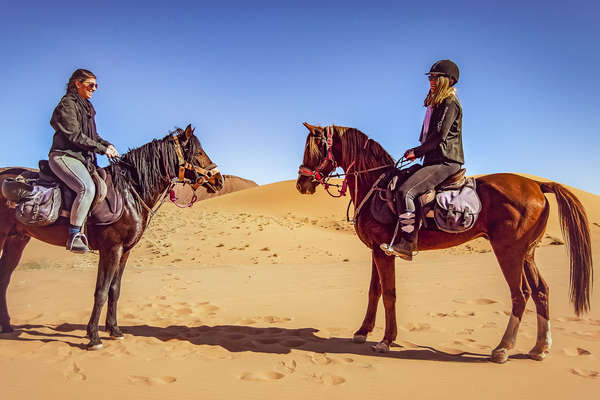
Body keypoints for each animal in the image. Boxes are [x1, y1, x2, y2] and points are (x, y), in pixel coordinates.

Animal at [0, 125, 224, 350]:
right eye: (198, 153)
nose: (219, 180)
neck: (130, 193)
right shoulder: (111, 249)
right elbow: (101, 291)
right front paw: (93, 337)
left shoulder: (124, 251)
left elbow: (114, 290)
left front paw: (114, 330)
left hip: (17, 239)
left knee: (4, 278)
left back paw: (7, 326)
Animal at [296, 122, 592, 362]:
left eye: (315, 149)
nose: (301, 184)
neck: (375, 186)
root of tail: (538, 185)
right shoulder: (376, 251)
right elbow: (374, 291)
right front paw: (362, 331)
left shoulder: (385, 252)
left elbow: (389, 294)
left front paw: (386, 340)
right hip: (527, 253)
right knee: (541, 290)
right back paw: (540, 348)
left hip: (508, 251)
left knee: (521, 294)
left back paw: (503, 348)